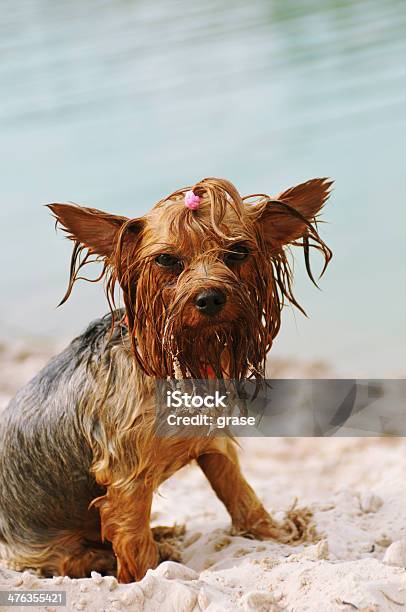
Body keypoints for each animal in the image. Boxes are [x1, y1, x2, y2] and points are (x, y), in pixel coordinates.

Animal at [0, 175, 334, 580]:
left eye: (238, 252)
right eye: (167, 260)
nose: (209, 298)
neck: (184, 360)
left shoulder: (214, 445)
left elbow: (241, 495)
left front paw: (278, 533)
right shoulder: (127, 480)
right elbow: (135, 545)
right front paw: (147, 574)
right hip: (45, 551)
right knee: (73, 558)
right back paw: (112, 555)